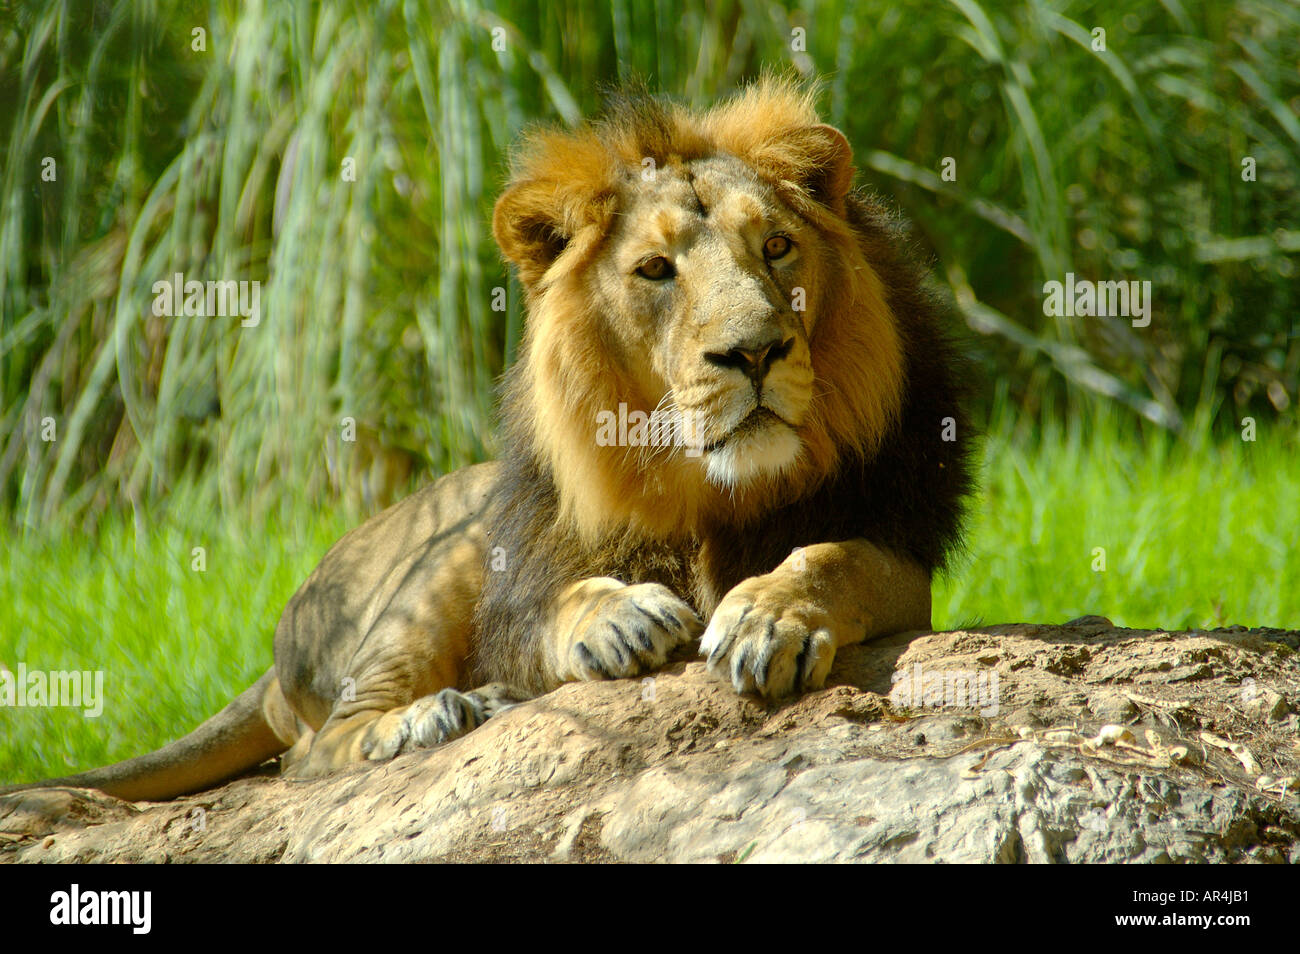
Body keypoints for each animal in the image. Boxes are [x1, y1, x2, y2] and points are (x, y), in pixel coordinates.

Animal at [1, 77, 974, 802]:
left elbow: (836, 554)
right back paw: (439, 714)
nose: (756, 352)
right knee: (310, 752)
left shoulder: (902, 551)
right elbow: (552, 607)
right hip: (439, 557)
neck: (709, 491)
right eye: (656, 270)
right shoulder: (521, 572)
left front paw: (770, 615)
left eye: (775, 247)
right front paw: (614, 617)